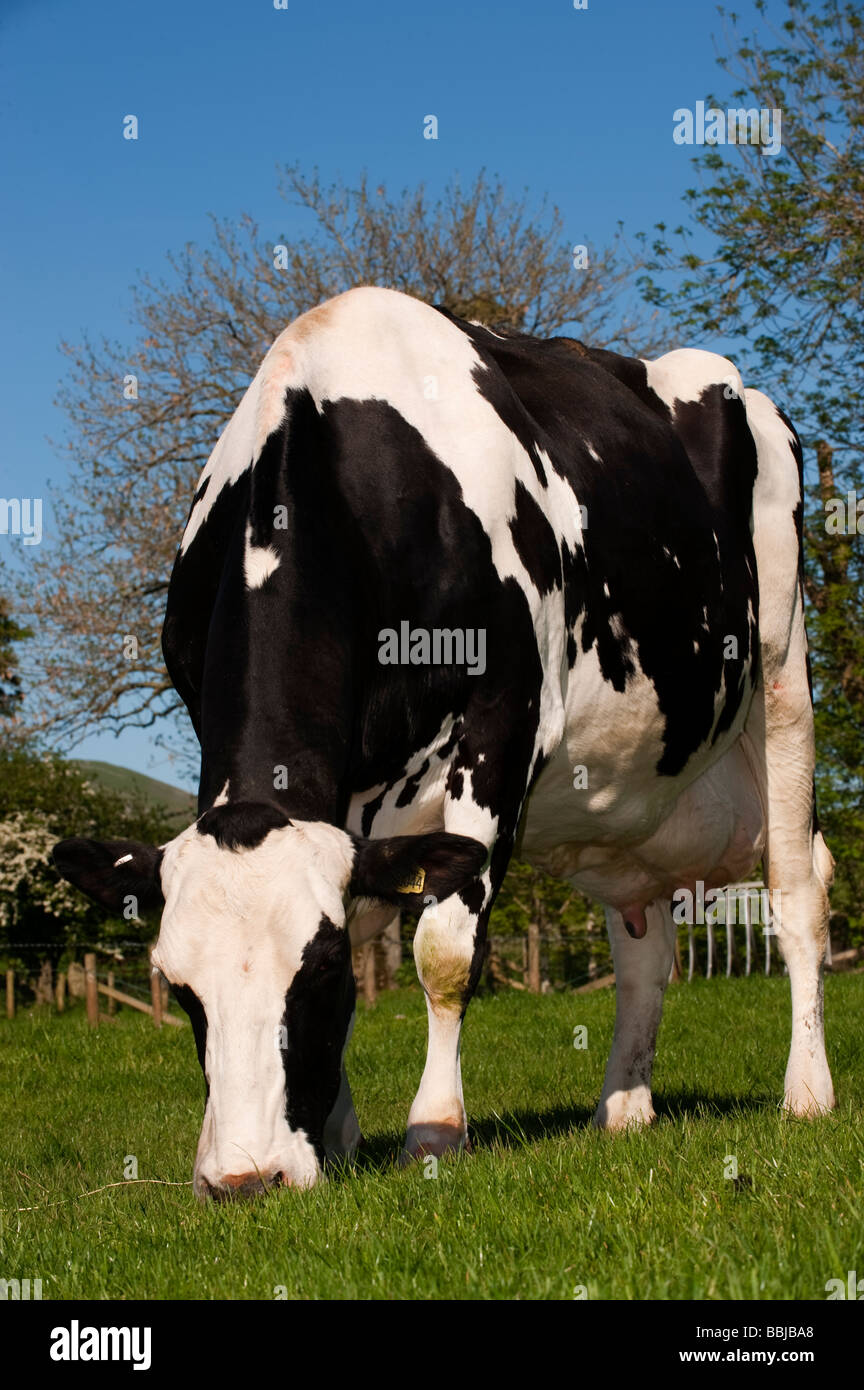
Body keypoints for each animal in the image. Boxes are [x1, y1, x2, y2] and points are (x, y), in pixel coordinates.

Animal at [54, 286, 835, 1199]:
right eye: (177, 988)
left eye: (316, 976)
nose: (245, 1179)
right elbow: (369, 921)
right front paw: (338, 1132)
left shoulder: (502, 719)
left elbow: (443, 951)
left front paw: (432, 1131)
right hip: (626, 803)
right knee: (643, 942)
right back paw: (624, 1106)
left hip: (782, 664)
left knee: (797, 890)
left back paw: (807, 1092)